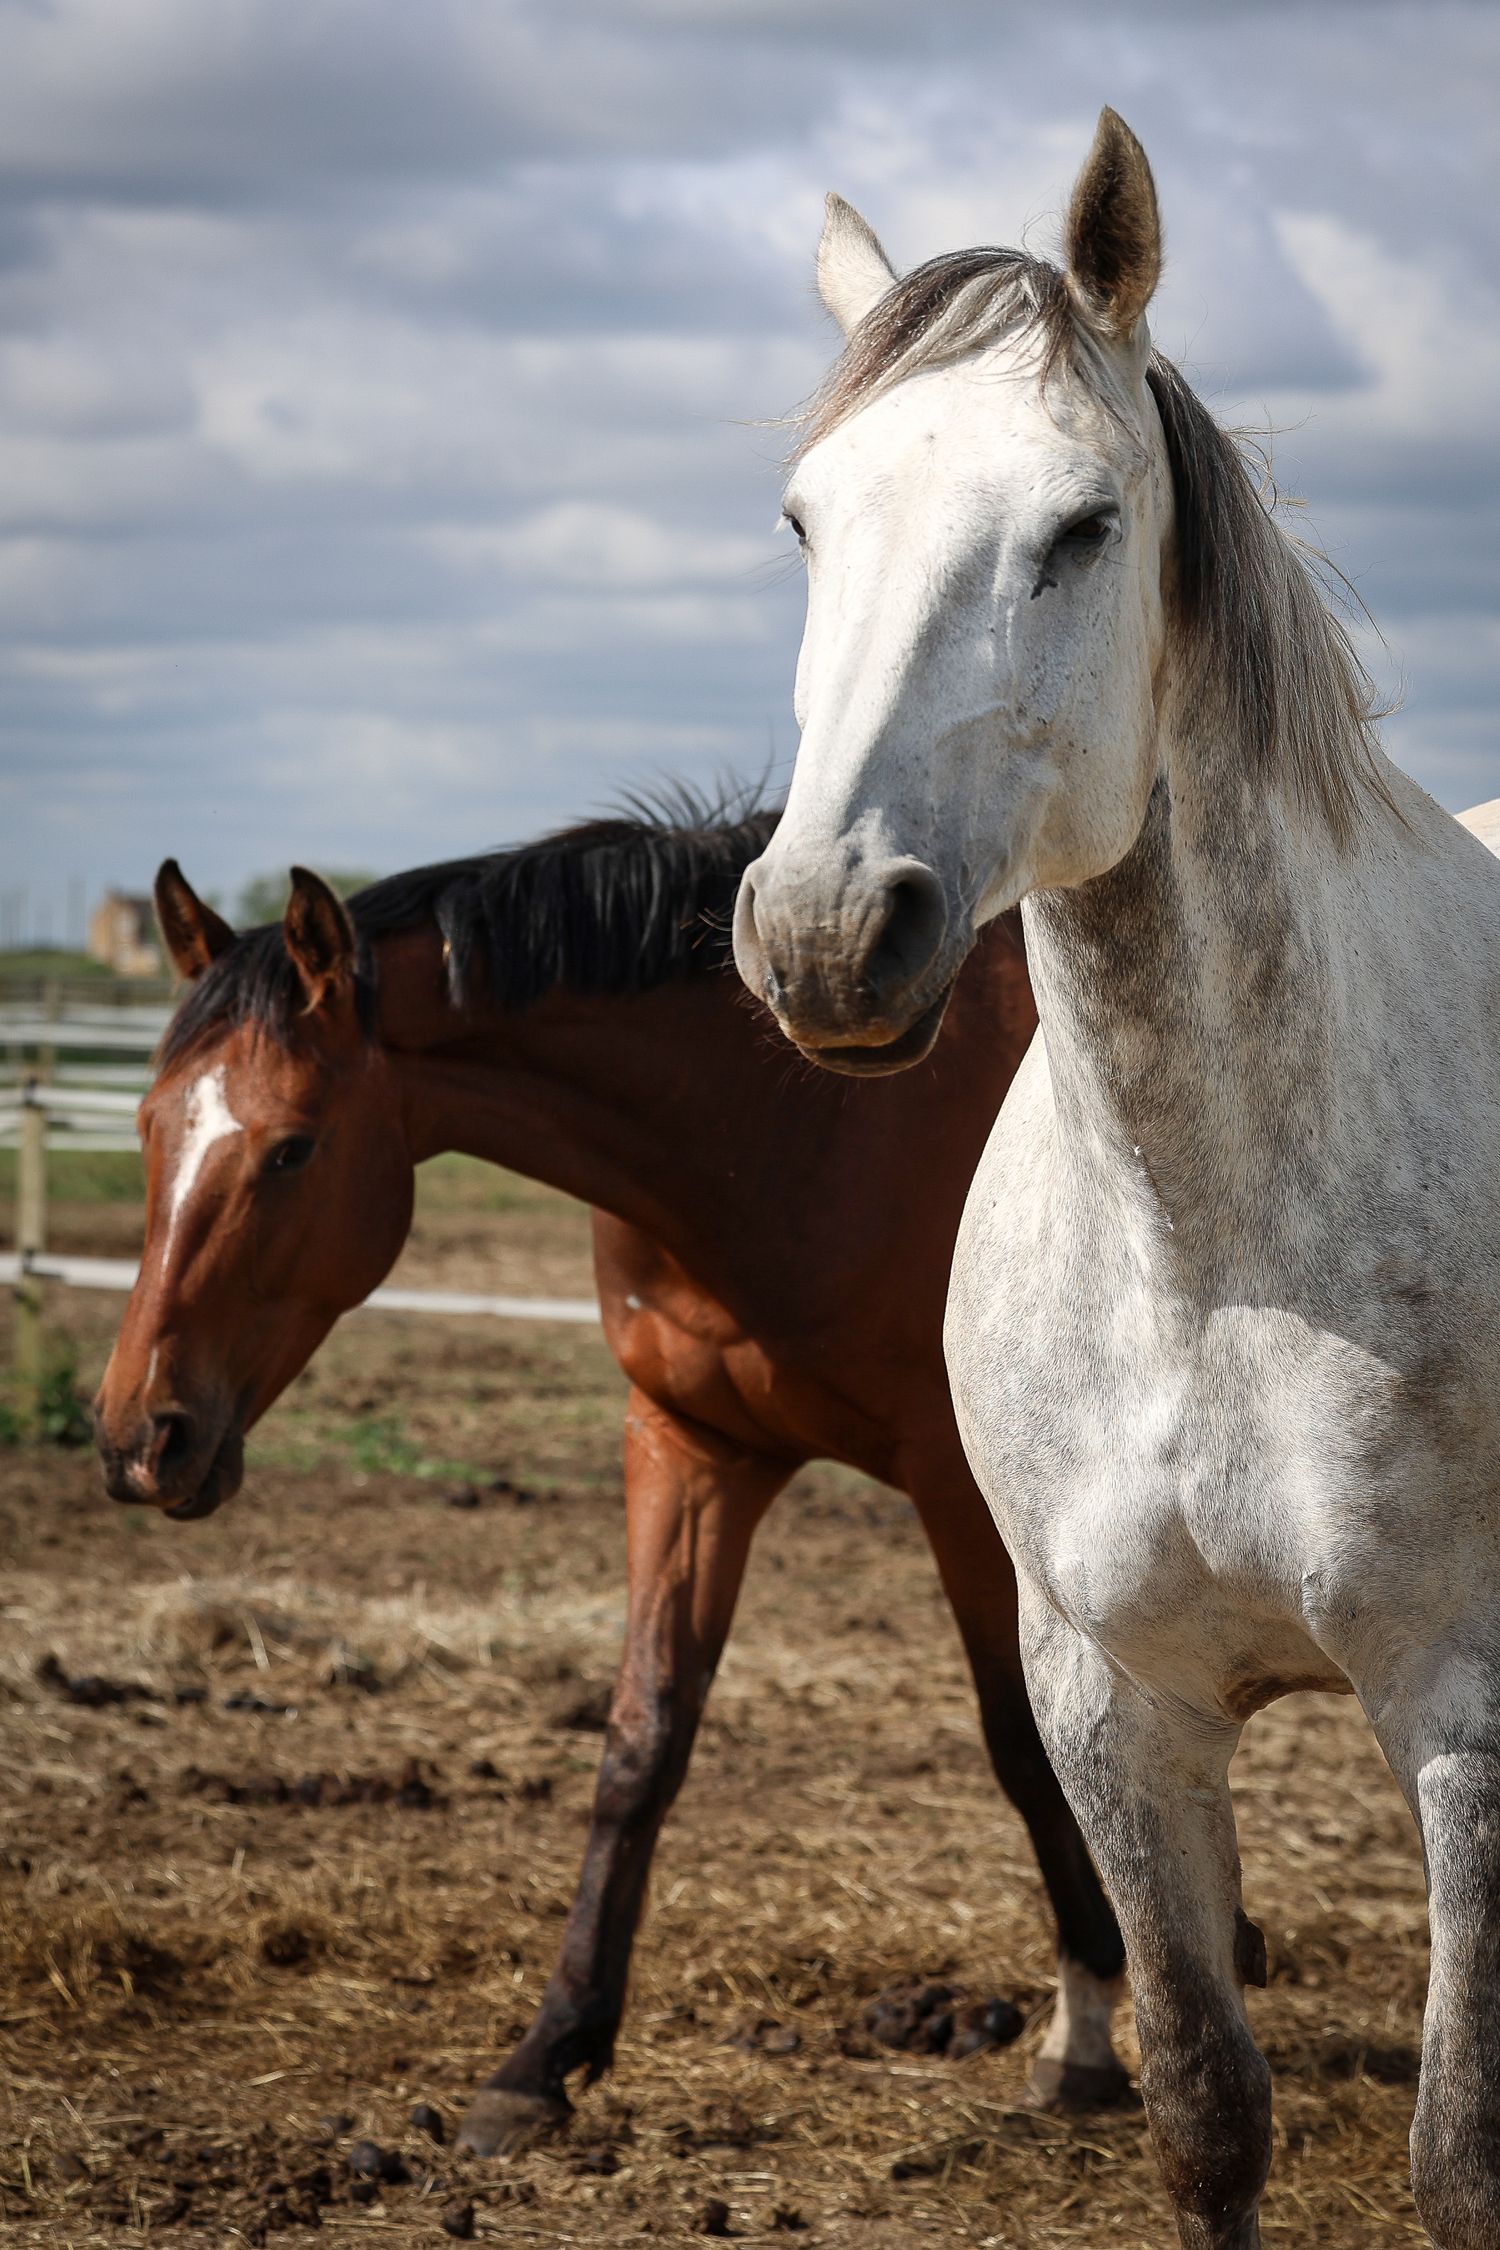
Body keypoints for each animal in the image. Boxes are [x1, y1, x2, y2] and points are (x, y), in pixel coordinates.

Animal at [91, 798, 1128, 2157]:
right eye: (149, 1127)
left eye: (290, 1151)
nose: (138, 1438)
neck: (802, 1131)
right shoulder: (687, 1449)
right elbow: (643, 1738)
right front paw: (546, 2053)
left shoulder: (959, 1489)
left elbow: (1021, 1740)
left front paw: (1088, 2033)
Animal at [733, 109, 1500, 2250]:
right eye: (808, 525)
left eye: (1082, 527)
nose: (827, 937)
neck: (1208, 1256)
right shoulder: (1109, 1710)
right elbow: (1207, 2113)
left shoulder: (1464, 1713)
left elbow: (1459, 2158)